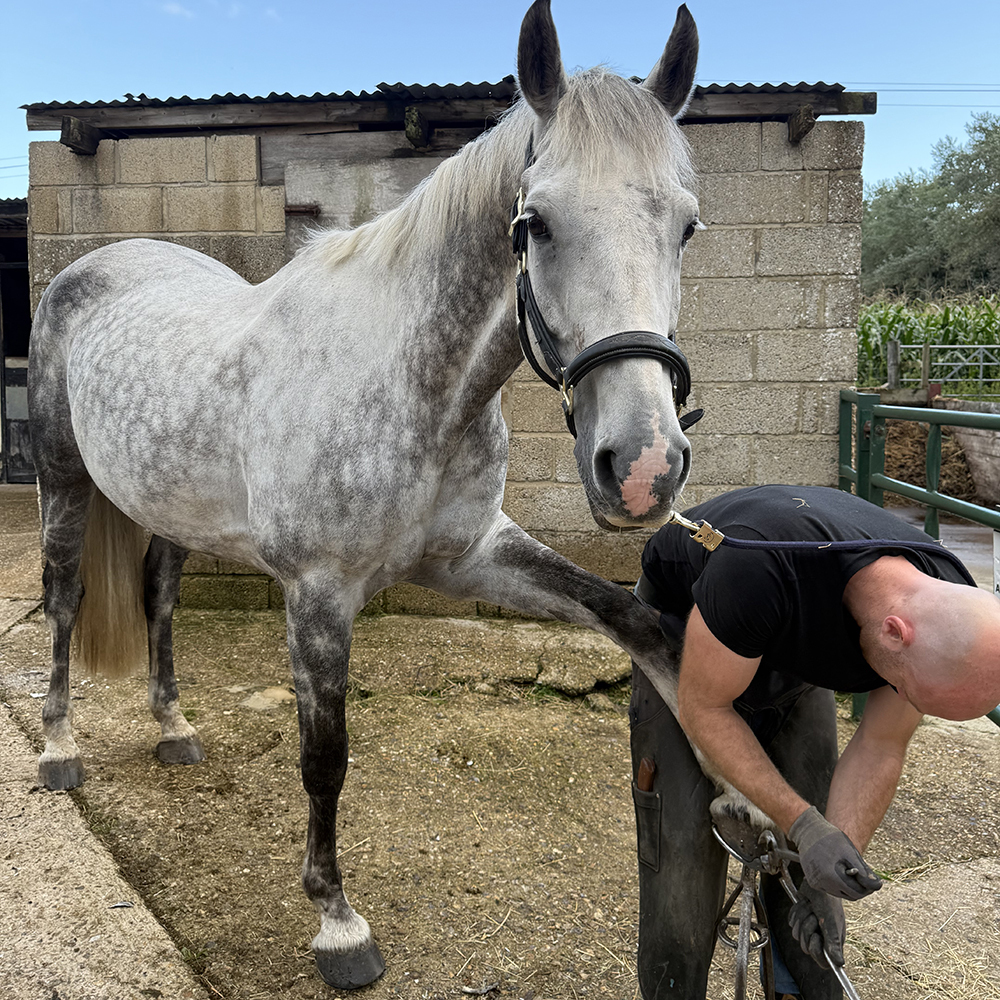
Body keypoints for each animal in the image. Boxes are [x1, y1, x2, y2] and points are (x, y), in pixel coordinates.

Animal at [28, 1, 751, 989]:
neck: (412, 382)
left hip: (166, 503)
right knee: (65, 598)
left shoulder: (473, 555)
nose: (642, 467)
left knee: (158, 597)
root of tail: (99, 262)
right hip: (62, 480)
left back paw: (173, 728)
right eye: (535, 223)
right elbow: (325, 758)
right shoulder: (319, 593)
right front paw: (337, 923)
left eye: (686, 226)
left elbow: (638, 622)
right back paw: (59, 747)